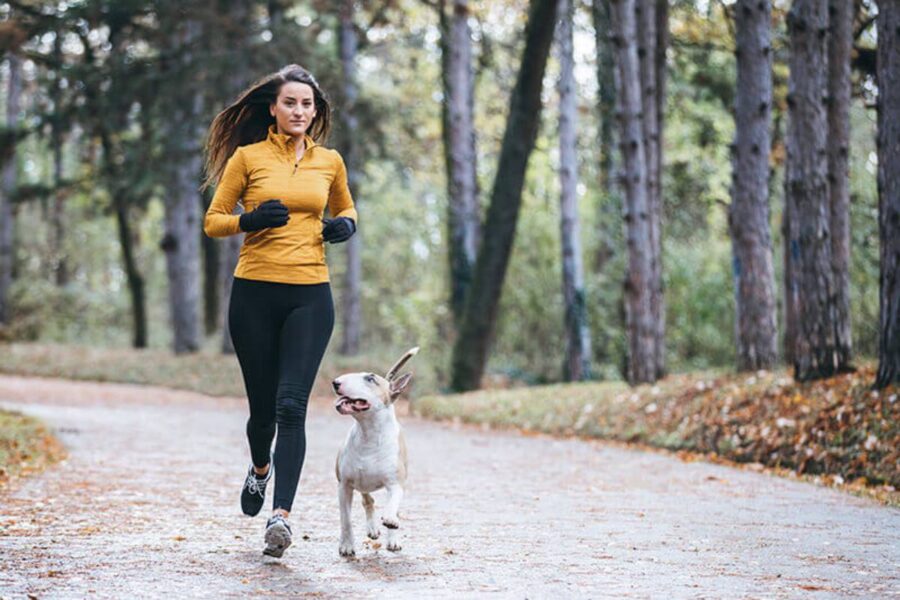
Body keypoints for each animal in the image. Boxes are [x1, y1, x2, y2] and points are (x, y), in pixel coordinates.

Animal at [330, 346, 418, 556]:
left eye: (370, 379)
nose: (336, 382)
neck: (368, 433)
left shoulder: (395, 484)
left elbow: (392, 506)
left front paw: (391, 522)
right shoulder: (344, 485)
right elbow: (346, 519)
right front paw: (347, 546)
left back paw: (392, 538)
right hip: (361, 485)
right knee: (368, 501)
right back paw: (372, 529)